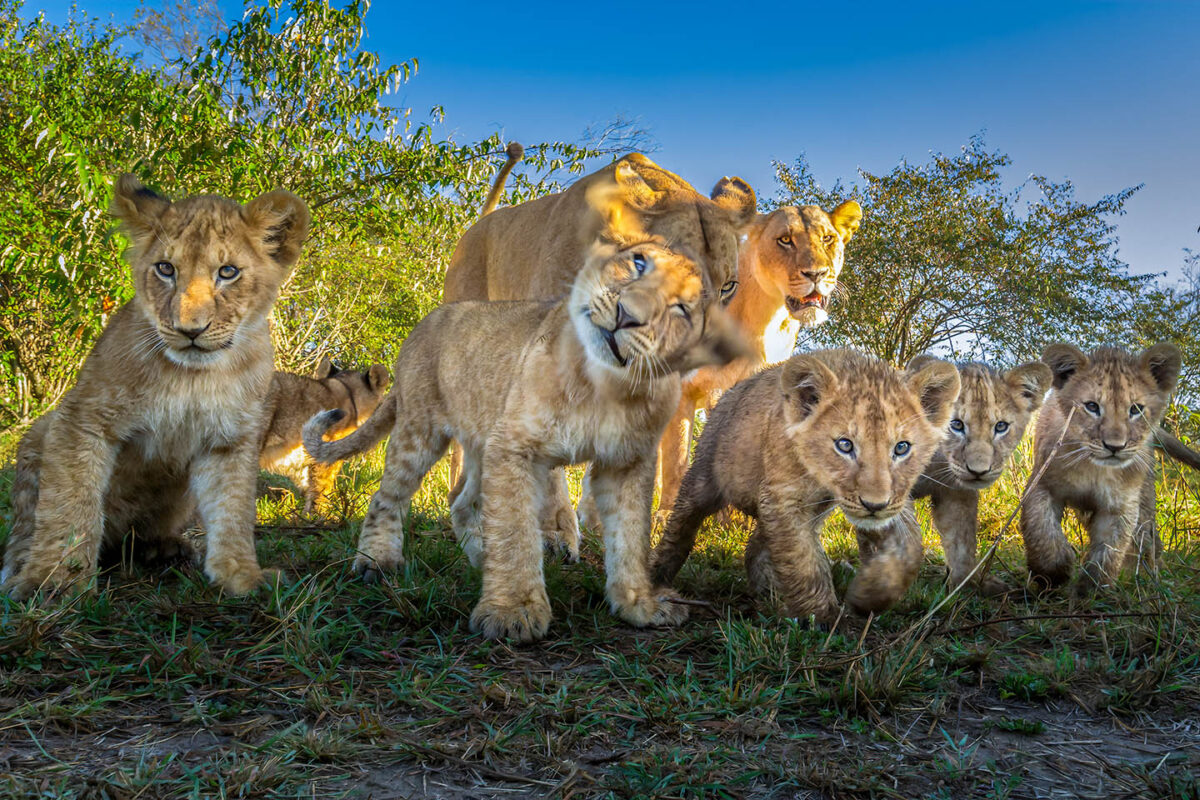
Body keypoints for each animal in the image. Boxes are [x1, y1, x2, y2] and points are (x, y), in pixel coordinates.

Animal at [1, 175, 310, 600]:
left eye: (227, 272)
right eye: (165, 269)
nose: (190, 330)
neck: (193, 377)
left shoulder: (229, 440)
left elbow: (233, 509)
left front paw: (241, 576)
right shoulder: (81, 417)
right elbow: (70, 502)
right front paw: (54, 581)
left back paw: (165, 549)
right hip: (38, 433)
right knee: (26, 527)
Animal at [303, 239, 749, 641]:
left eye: (681, 309)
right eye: (638, 263)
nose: (628, 315)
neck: (603, 385)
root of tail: (424, 324)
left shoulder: (625, 461)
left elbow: (631, 536)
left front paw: (639, 604)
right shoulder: (514, 447)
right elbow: (517, 529)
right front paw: (511, 612)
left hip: (481, 439)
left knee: (461, 500)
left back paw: (482, 560)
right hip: (421, 429)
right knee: (388, 496)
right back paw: (376, 563)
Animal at [650, 349, 960, 623]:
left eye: (901, 448)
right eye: (844, 445)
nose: (874, 505)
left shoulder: (893, 498)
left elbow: (910, 546)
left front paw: (870, 597)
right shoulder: (782, 496)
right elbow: (802, 558)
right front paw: (821, 617)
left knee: (757, 543)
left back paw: (768, 589)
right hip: (703, 476)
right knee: (681, 527)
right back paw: (657, 579)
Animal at [908, 358, 1053, 596]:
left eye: (1001, 427)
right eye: (956, 425)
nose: (978, 471)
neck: (936, 463)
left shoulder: (955, 492)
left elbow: (962, 541)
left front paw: (967, 586)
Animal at [1021, 342, 1182, 590]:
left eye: (1135, 409)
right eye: (1092, 406)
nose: (1115, 446)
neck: (1094, 469)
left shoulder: (1120, 505)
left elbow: (1109, 551)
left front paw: (1093, 590)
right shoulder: (1042, 483)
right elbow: (1041, 529)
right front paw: (1053, 574)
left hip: (1145, 498)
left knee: (1147, 538)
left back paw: (1149, 574)